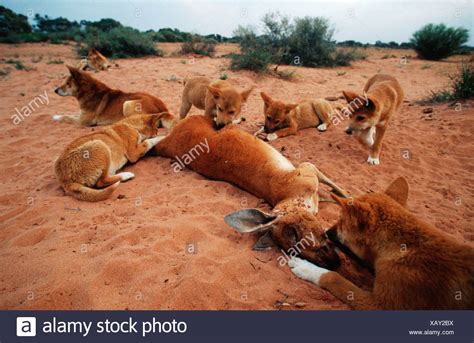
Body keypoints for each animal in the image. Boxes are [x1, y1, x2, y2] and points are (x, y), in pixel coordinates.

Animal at [288, 179, 474, 310]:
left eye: (340, 221)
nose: (327, 232)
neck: (405, 245)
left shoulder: (379, 306)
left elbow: (334, 278)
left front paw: (307, 268)